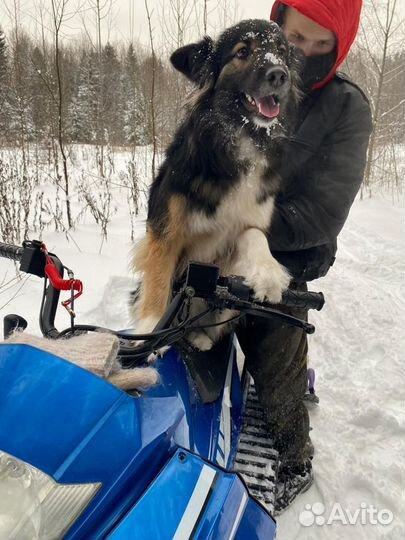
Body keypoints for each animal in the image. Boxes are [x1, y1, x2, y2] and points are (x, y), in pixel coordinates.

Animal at [132, 19, 300, 350]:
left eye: (282, 52)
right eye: (243, 51)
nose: (279, 75)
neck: (242, 137)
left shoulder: (243, 225)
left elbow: (254, 236)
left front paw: (268, 273)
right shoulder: (166, 230)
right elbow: (158, 277)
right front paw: (149, 328)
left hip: (224, 306)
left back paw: (200, 336)